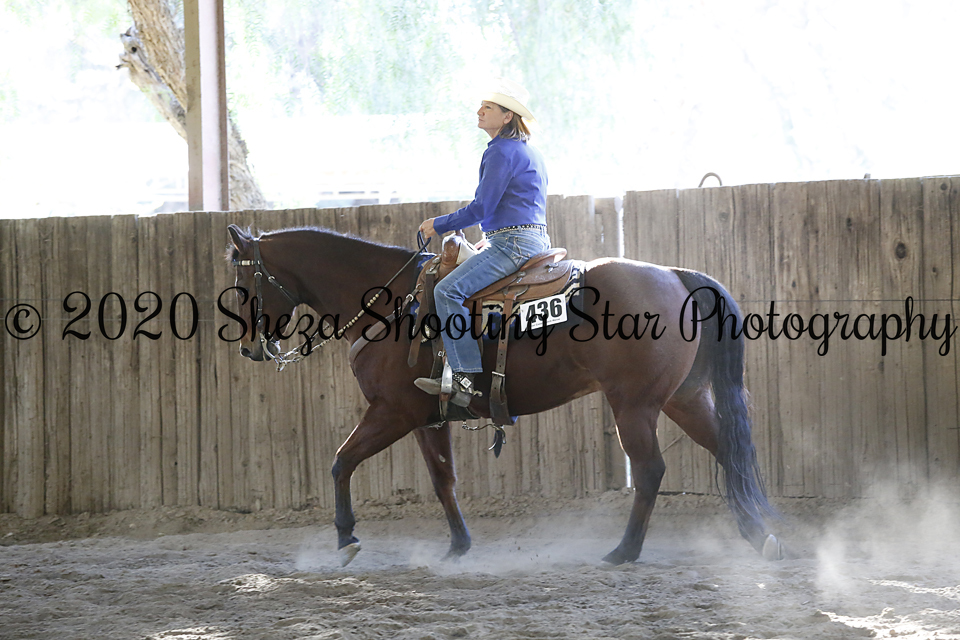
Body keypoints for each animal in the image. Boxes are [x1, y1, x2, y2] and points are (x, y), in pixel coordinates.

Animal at [225, 223, 784, 567]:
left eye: (243, 284)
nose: (252, 348)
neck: (393, 305)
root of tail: (675, 276)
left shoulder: (391, 412)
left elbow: (342, 461)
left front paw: (345, 539)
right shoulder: (426, 417)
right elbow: (443, 480)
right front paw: (458, 546)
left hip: (634, 405)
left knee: (650, 471)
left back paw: (623, 552)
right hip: (682, 399)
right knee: (728, 450)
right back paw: (761, 537)